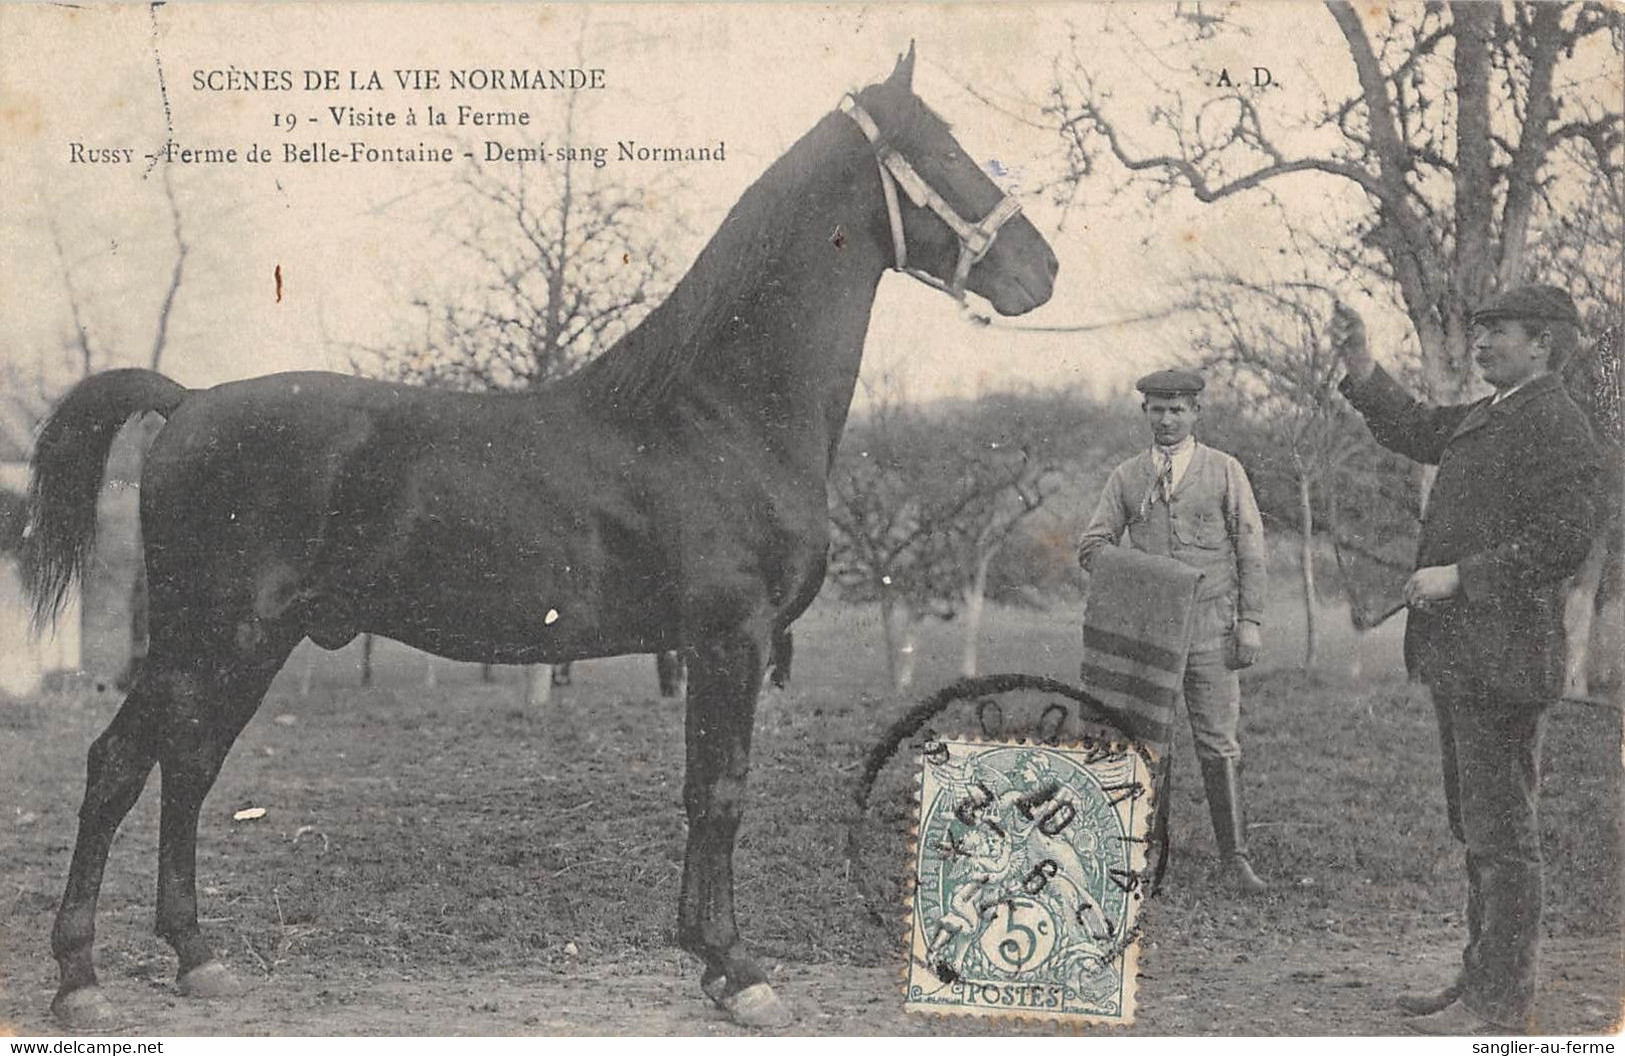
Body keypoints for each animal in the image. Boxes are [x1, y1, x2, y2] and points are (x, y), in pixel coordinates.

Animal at [25, 49, 1059, 1026]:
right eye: (947, 152)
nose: (1043, 270)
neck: (716, 412)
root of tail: (186, 401)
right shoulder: (733, 640)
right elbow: (721, 793)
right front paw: (740, 971)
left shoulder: (713, 648)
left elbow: (702, 791)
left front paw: (707, 960)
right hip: (208, 637)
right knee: (119, 766)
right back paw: (81, 980)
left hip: (252, 646)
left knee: (189, 768)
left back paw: (198, 959)